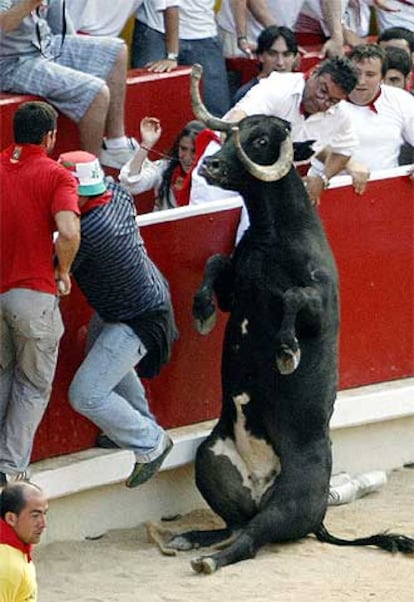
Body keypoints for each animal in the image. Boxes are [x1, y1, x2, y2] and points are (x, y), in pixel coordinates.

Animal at [166, 64, 414, 572]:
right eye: (236, 133)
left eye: (261, 140)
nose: (209, 165)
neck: (271, 234)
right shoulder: (235, 285)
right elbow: (216, 263)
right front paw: (202, 314)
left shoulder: (320, 303)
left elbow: (295, 299)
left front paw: (285, 351)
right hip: (209, 457)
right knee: (235, 525)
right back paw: (193, 539)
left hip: (290, 499)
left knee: (250, 538)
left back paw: (209, 560)